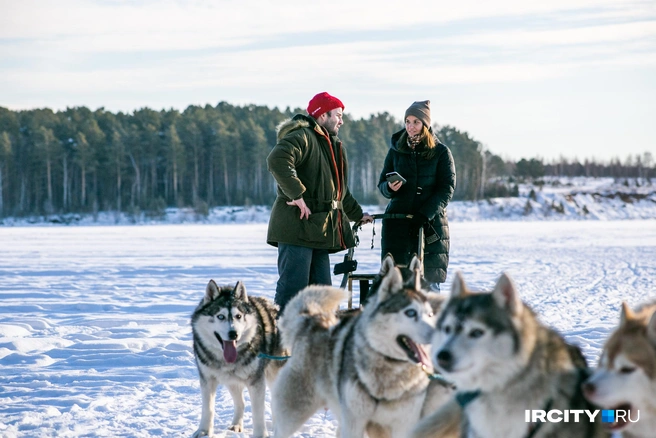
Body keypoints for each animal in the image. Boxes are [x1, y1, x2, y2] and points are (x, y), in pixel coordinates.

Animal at [188, 280, 284, 438]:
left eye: (238, 316)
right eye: (220, 316)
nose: (233, 334)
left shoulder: (256, 381)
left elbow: (258, 411)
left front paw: (260, 435)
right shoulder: (207, 379)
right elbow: (208, 408)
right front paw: (204, 431)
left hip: (274, 375)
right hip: (231, 380)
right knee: (241, 403)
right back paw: (236, 425)